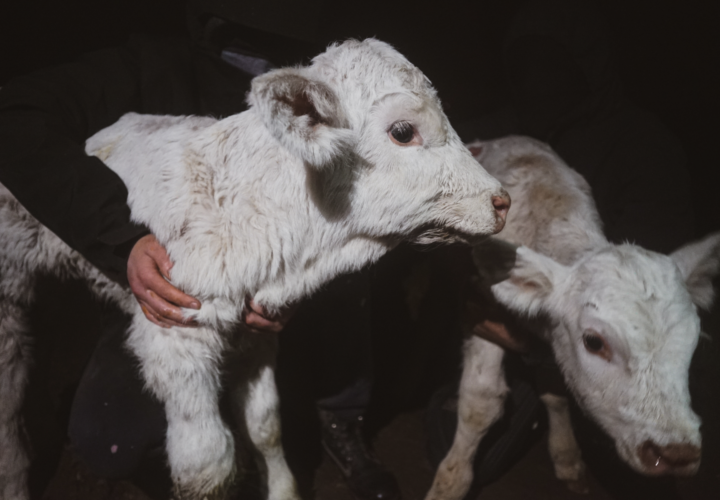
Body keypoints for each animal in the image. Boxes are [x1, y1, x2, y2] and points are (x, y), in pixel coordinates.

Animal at [425, 136, 720, 500]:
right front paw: (448, 485)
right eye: (594, 342)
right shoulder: (483, 312)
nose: (676, 454)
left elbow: (555, 390)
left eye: (693, 344)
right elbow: (481, 401)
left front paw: (567, 457)